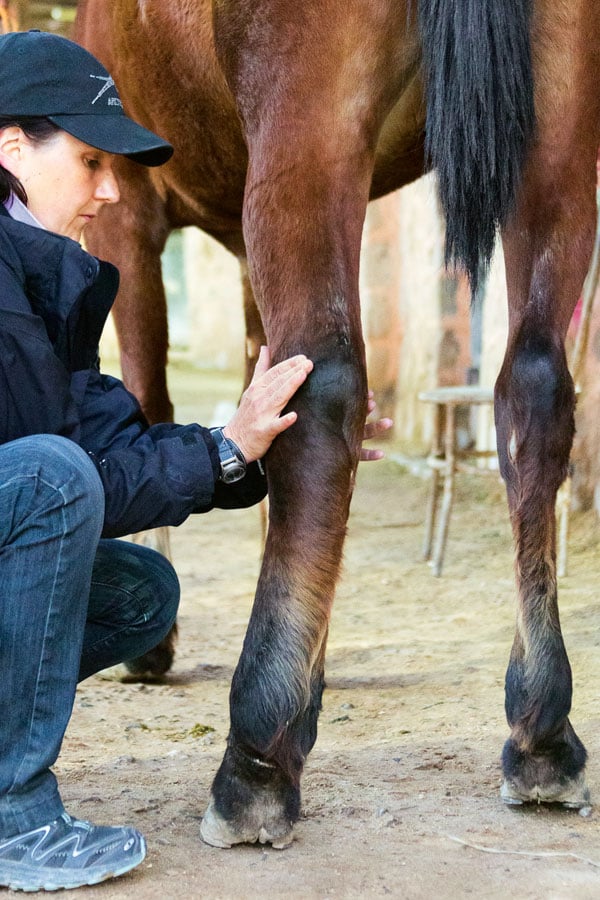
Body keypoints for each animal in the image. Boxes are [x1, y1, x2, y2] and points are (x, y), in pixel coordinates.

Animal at [75, 0, 600, 848]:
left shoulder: (124, 202)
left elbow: (150, 397)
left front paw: (162, 649)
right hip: (558, 118)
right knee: (536, 384)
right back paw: (541, 734)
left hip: (307, 116)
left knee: (322, 389)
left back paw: (255, 760)